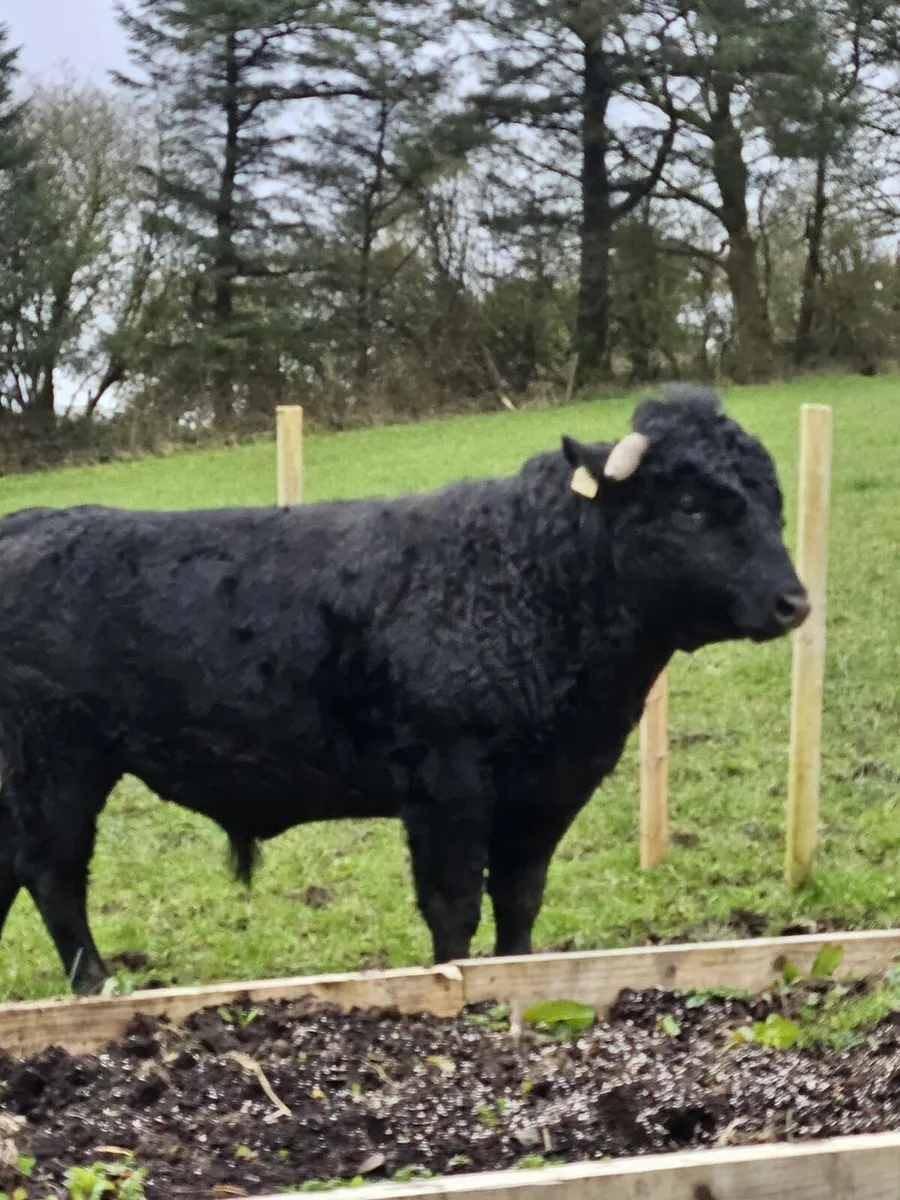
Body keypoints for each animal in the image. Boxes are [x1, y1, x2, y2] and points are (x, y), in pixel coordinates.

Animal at [0, 385, 809, 993]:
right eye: (692, 506)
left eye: (774, 501)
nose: (793, 602)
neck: (527, 579)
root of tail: (27, 522)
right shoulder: (446, 784)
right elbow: (453, 908)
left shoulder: (551, 789)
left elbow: (519, 900)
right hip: (56, 767)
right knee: (54, 876)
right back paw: (97, 987)